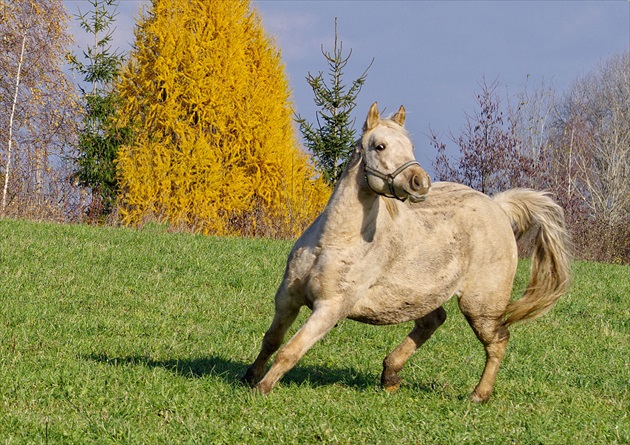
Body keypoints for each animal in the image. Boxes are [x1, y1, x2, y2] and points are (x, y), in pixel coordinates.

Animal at [243, 102, 572, 400]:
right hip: (424, 295)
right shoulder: (287, 297)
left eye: (410, 146)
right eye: (380, 146)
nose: (420, 182)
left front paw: (263, 388)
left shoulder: (330, 307)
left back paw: (478, 395)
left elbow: (291, 350)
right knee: (433, 322)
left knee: (497, 340)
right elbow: (272, 340)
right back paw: (390, 375)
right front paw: (249, 377)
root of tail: (498, 207)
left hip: (480, 305)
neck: (334, 239)